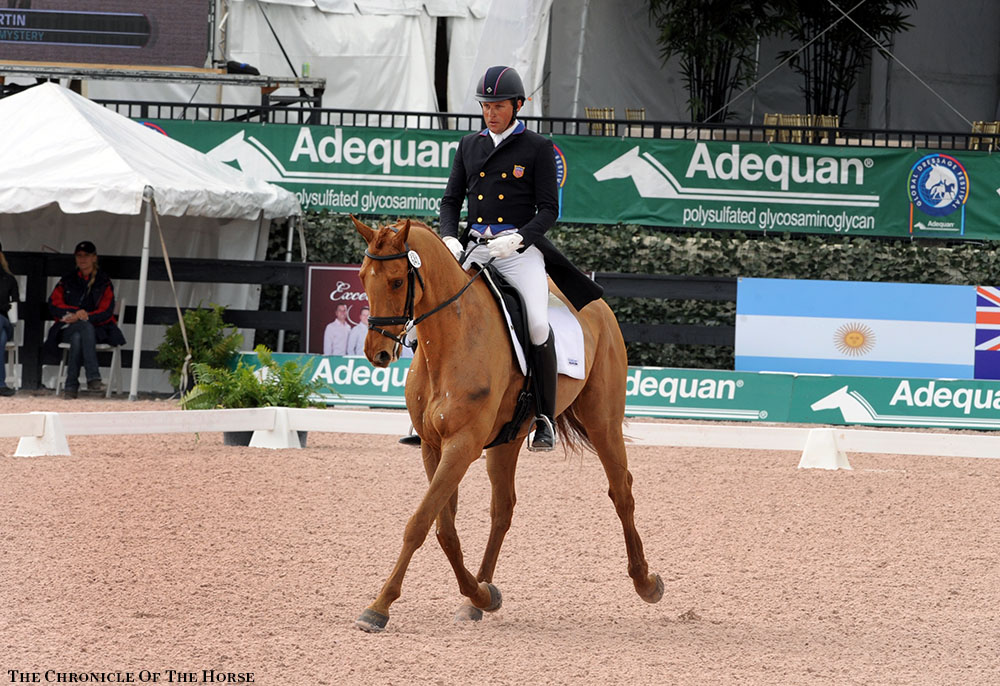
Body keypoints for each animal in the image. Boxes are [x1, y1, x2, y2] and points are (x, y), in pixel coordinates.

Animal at [352, 219, 664, 636]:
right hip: (507, 441)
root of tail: (598, 306)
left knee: (622, 492)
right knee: (502, 509)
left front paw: (379, 607)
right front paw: (480, 594)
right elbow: (444, 530)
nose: (378, 353)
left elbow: (419, 523)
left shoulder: (462, 445)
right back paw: (478, 599)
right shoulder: (433, 447)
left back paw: (647, 583)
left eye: (398, 281)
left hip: (603, 420)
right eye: (362, 277)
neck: (452, 338)